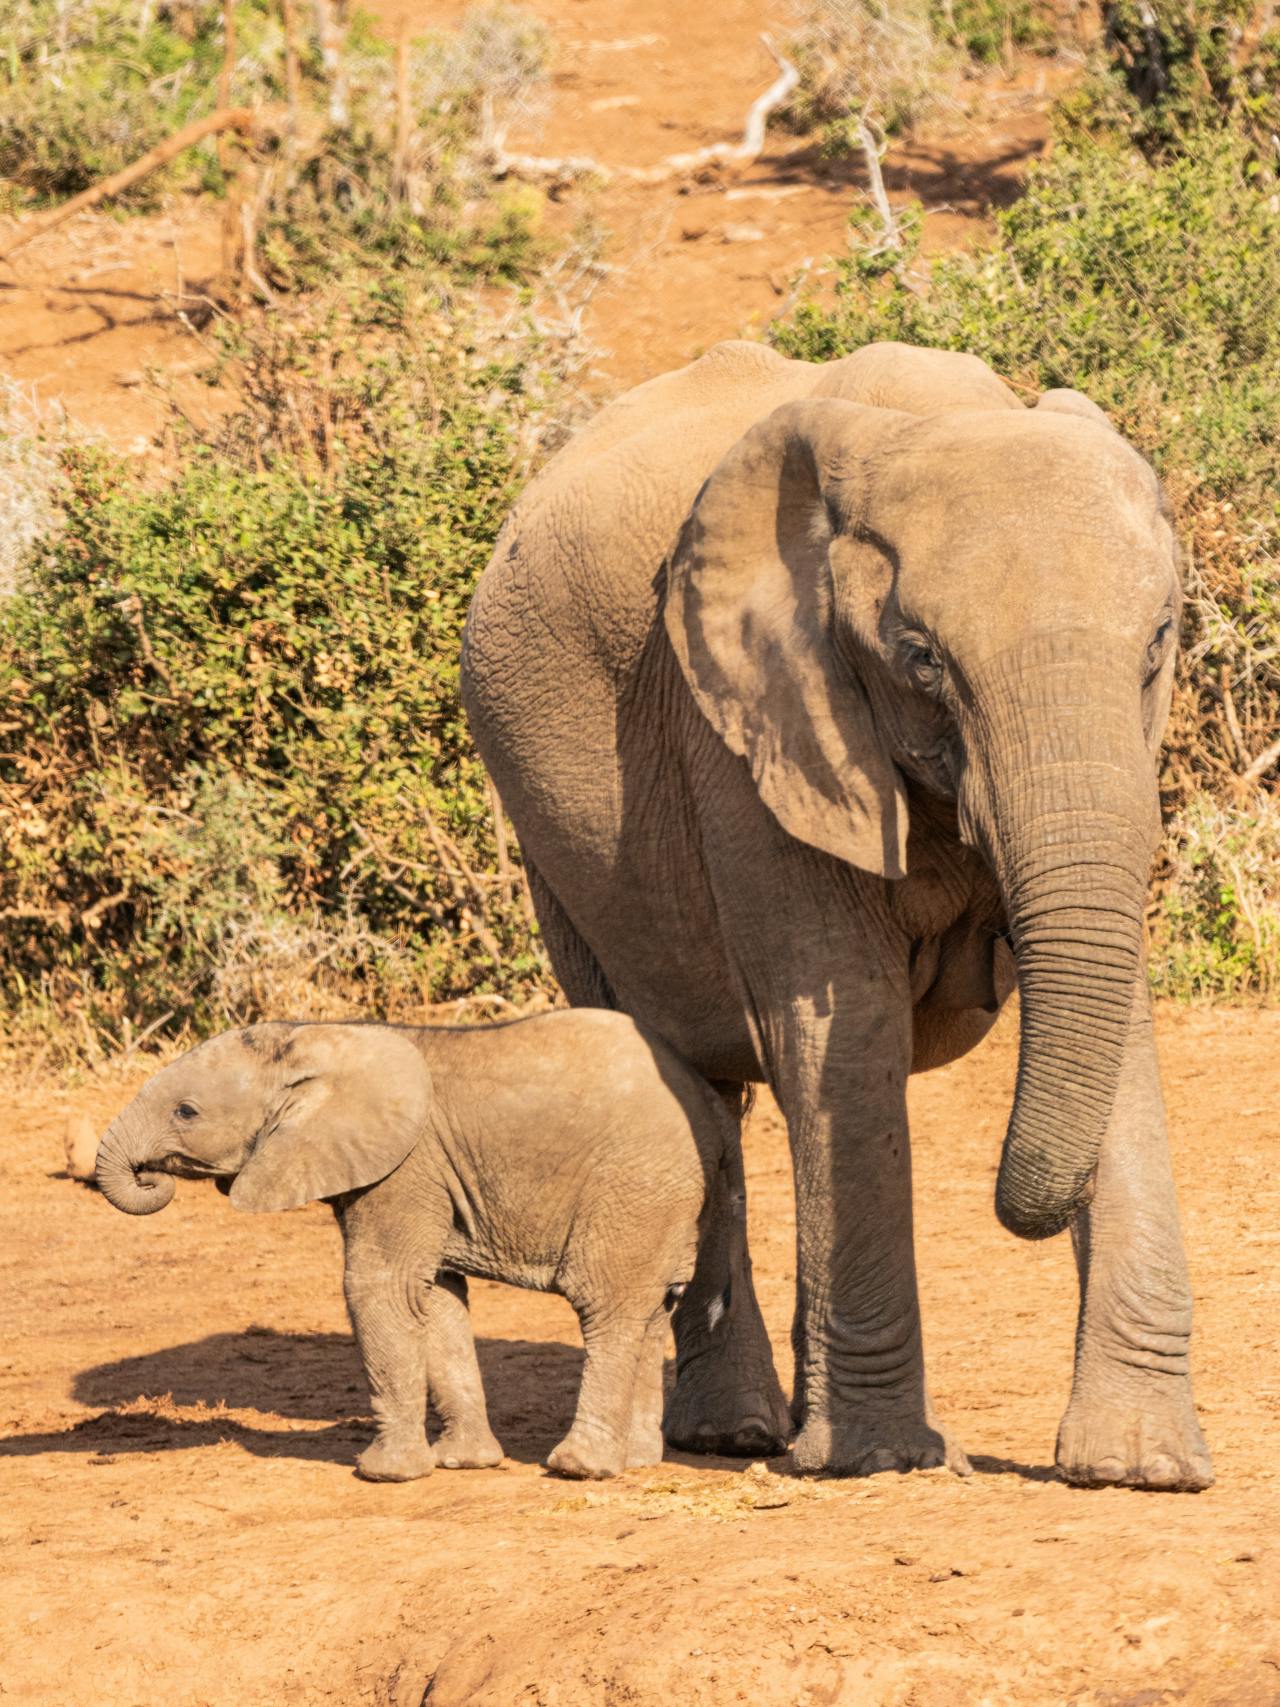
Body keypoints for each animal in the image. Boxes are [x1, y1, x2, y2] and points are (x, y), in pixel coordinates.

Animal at [96, 1012, 739, 1481]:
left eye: (185, 1112)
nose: (151, 1177)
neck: (317, 1038)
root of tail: (707, 1103)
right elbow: (437, 1300)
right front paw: (462, 1463)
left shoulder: (404, 1167)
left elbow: (380, 1287)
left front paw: (383, 1474)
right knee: (652, 1310)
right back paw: (638, 1461)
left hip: (634, 1186)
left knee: (607, 1308)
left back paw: (578, 1468)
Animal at [460, 337, 1214, 1490]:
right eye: (922, 660)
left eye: (1158, 642)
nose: (1018, 1208)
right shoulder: (745, 725)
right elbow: (843, 1022)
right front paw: (881, 1460)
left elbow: (1114, 1005)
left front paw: (1139, 1469)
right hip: (555, 845)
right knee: (688, 1086)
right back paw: (740, 1435)